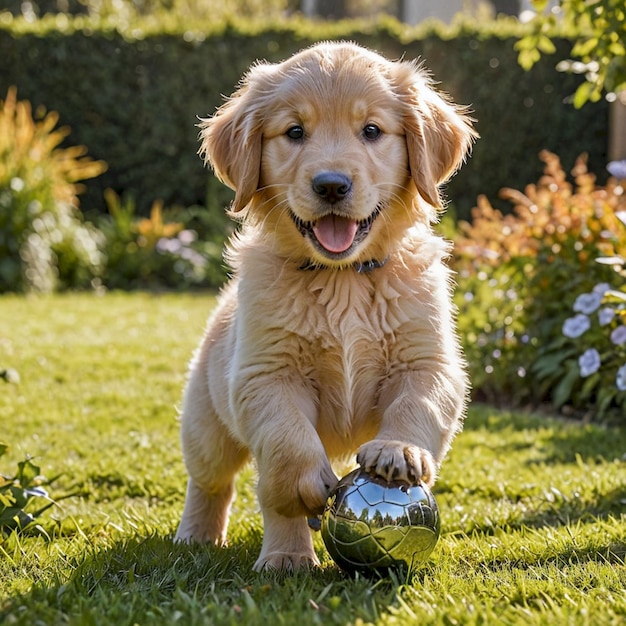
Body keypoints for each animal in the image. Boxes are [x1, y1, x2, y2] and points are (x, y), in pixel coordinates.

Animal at [173, 40, 476, 572]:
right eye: (295, 132)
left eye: (371, 130)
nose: (331, 185)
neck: (344, 280)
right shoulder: (266, 375)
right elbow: (287, 447)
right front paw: (304, 486)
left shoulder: (429, 361)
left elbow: (419, 403)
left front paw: (398, 450)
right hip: (205, 423)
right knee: (215, 483)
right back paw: (243, 547)